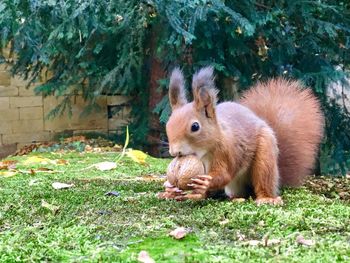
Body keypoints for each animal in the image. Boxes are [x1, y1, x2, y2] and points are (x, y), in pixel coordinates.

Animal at [163, 66, 324, 206]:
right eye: (168, 124)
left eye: (195, 127)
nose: (174, 152)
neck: (205, 153)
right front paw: (171, 186)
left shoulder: (227, 151)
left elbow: (225, 174)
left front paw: (206, 182)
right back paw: (192, 195)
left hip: (265, 155)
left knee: (262, 179)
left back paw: (265, 198)